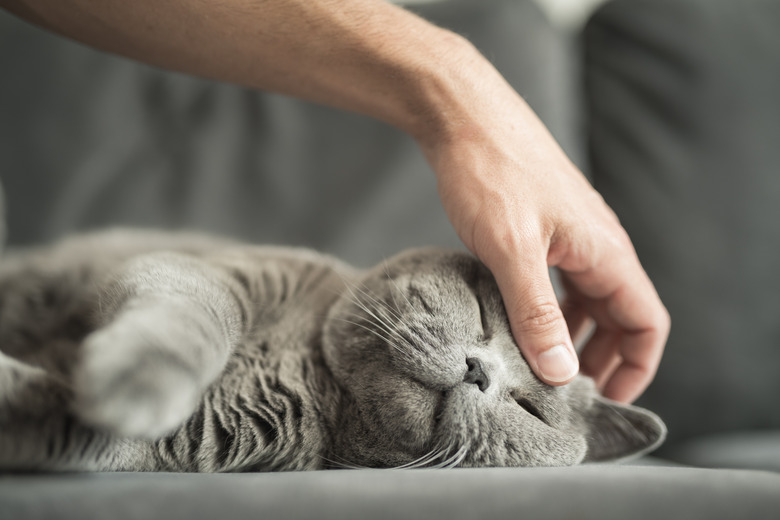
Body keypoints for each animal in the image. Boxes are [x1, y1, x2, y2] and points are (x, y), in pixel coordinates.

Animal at [0, 230, 664, 474]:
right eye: (480, 308)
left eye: (531, 410)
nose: (479, 370)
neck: (311, 380)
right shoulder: (215, 273)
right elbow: (197, 316)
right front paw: (136, 379)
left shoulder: (177, 444)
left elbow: (79, 432)